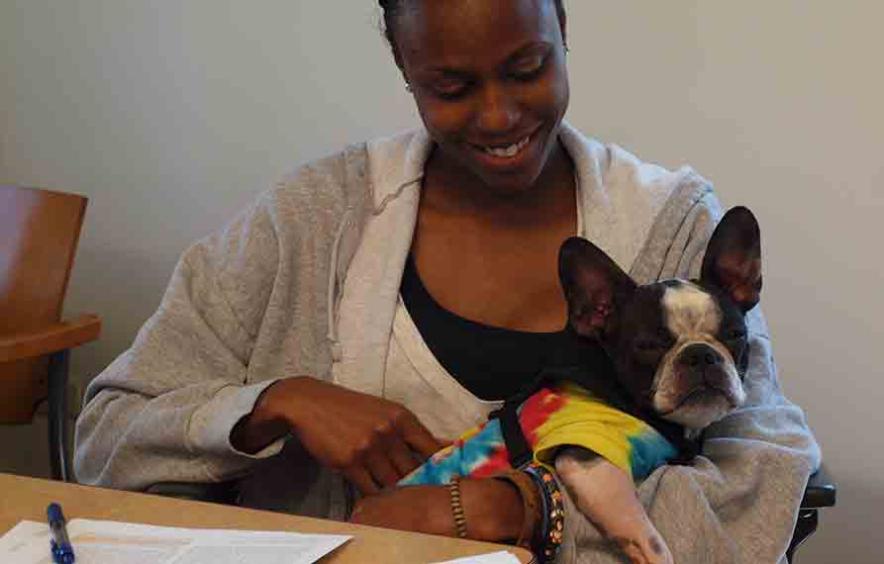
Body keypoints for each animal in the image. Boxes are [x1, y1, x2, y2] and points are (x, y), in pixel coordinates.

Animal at [400, 207, 760, 564]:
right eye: (647, 346)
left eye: (736, 334)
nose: (700, 355)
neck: (624, 396)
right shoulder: (591, 466)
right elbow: (648, 535)